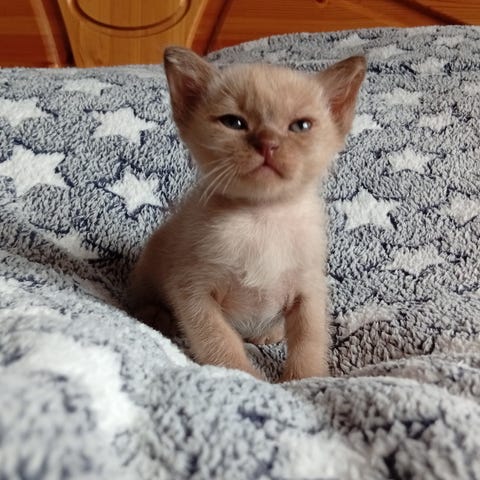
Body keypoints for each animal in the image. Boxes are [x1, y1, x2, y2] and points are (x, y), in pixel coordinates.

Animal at [128, 46, 366, 381]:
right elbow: (218, 340)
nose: (268, 144)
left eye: (301, 126)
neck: (262, 217)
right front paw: (243, 377)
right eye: (234, 122)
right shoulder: (192, 289)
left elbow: (309, 341)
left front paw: (305, 380)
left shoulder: (310, 290)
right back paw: (155, 316)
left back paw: (268, 333)